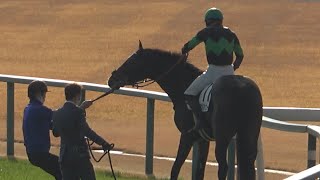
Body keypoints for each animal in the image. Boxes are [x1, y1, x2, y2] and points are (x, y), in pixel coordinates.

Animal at [107, 41, 262, 180]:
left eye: (131, 62)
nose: (111, 79)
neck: (183, 84)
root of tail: (243, 90)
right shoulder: (202, 139)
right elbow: (199, 171)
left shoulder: (187, 135)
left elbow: (175, 168)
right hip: (249, 134)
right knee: (249, 165)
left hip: (223, 136)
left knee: (223, 167)